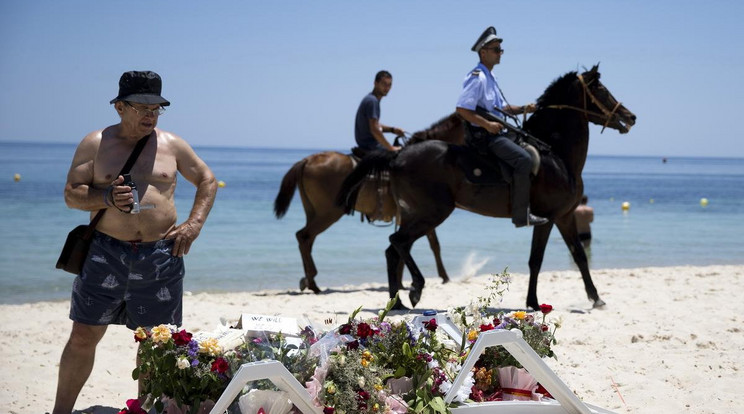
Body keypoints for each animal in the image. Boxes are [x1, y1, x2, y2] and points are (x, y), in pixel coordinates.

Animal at [274, 115, 464, 292]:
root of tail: (307, 160)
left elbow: (418, 244)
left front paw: (401, 282)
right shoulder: (422, 214)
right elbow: (429, 244)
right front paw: (441, 277)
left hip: (314, 212)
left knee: (306, 239)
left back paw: (309, 281)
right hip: (328, 213)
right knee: (304, 236)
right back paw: (312, 282)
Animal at [340, 65, 636, 310]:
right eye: (600, 89)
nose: (630, 116)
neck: (556, 155)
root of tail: (398, 155)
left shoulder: (564, 217)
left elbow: (579, 256)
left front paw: (596, 298)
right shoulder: (547, 219)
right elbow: (537, 260)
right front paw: (534, 302)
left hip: (416, 214)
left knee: (394, 250)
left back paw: (397, 303)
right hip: (431, 212)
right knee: (398, 243)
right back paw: (415, 290)